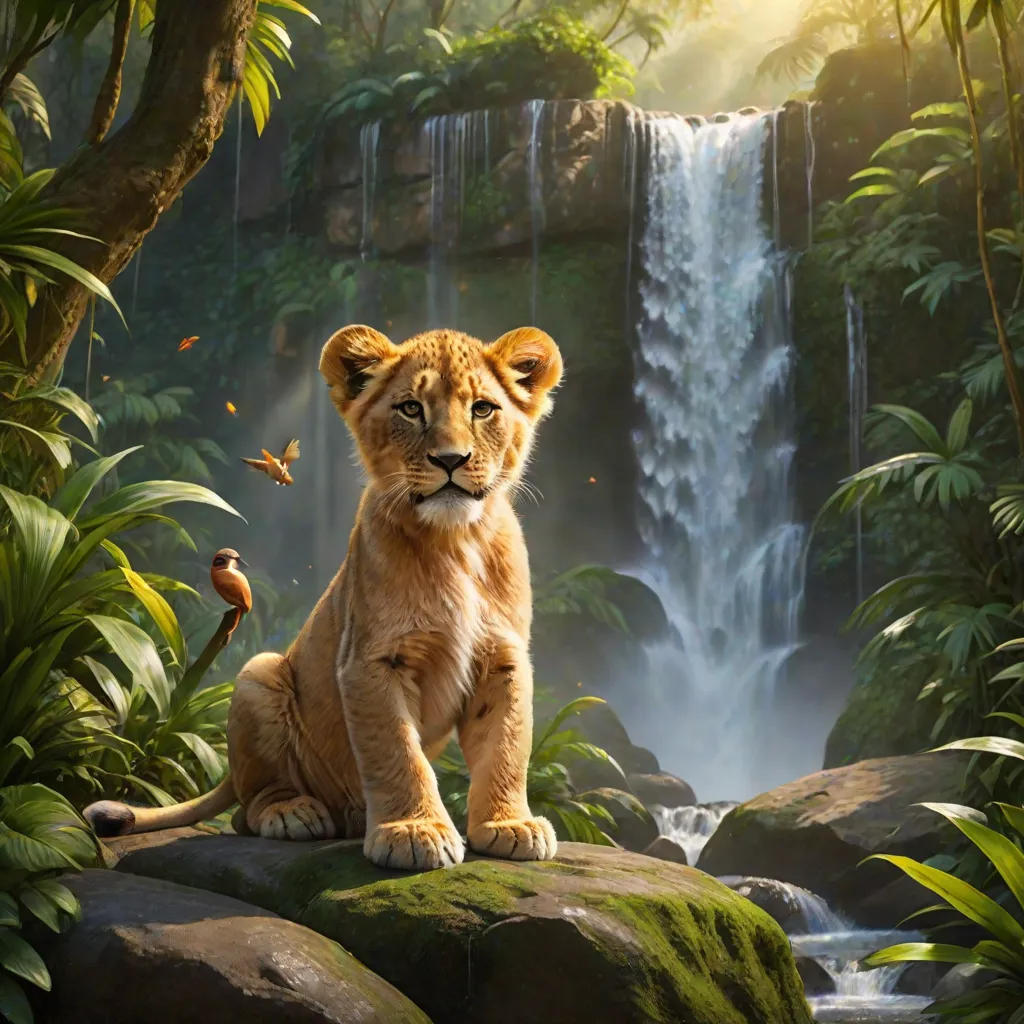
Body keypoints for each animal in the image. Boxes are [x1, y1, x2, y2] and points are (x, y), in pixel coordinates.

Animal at [84, 324, 563, 870]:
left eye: (483, 409)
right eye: (410, 409)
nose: (450, 460)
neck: (456, 539)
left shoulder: (504, 660)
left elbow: (505, 746)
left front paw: (509, 826)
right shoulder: (371, 660)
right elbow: (398, 752)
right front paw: (413, 832)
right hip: (259, 674)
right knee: (248, 808)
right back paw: (294, 813)